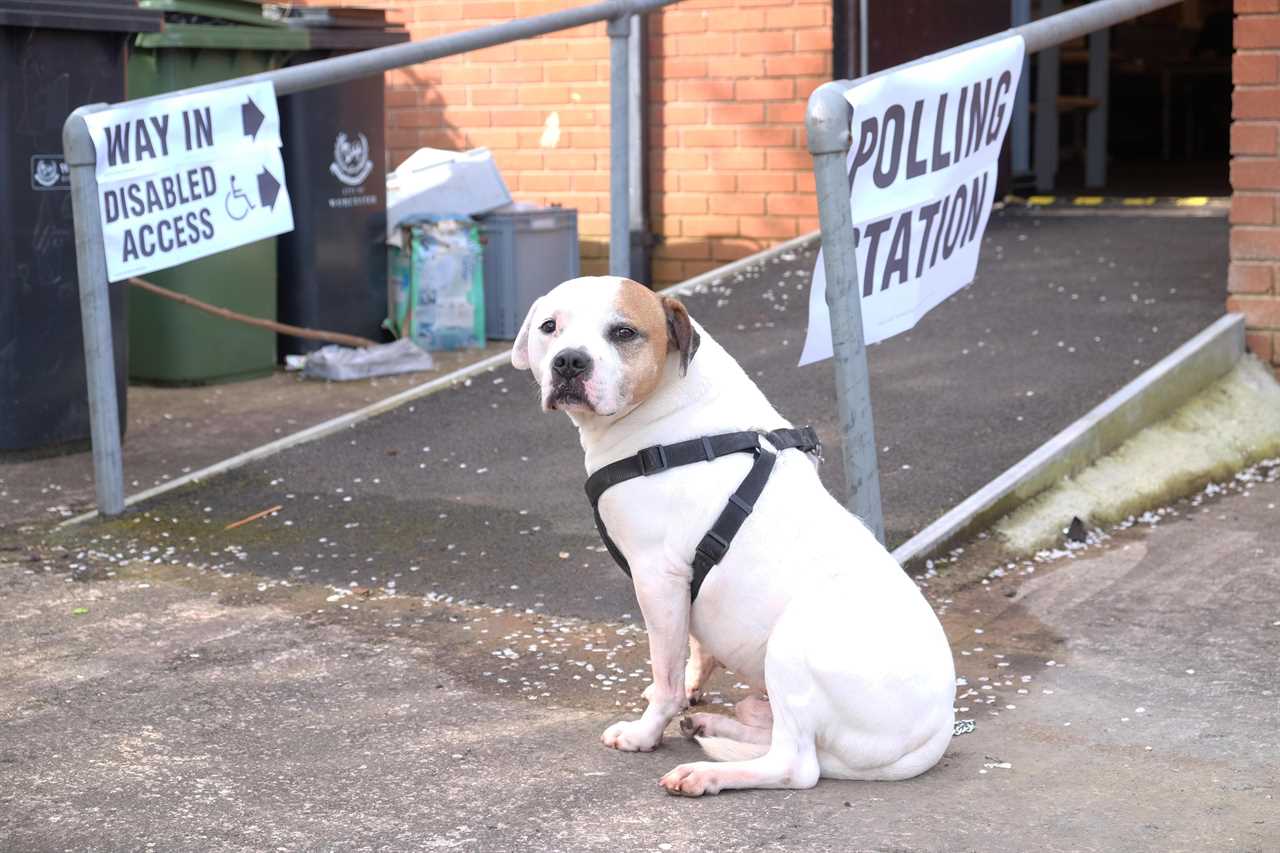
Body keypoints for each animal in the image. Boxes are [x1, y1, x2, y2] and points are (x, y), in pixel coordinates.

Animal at [509, 275, 952, 794]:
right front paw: (690, 694)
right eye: (549, 327)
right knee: (773, 730)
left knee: (797, 763)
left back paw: (707, 771)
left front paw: (646, 731)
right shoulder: (689, 585)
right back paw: (715, 724)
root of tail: (939, 729)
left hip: (793, 642)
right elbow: (694, 651)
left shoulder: (657, 579)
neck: (671, 413)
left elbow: (666, 672)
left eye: (623, 332)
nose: (570, 361)